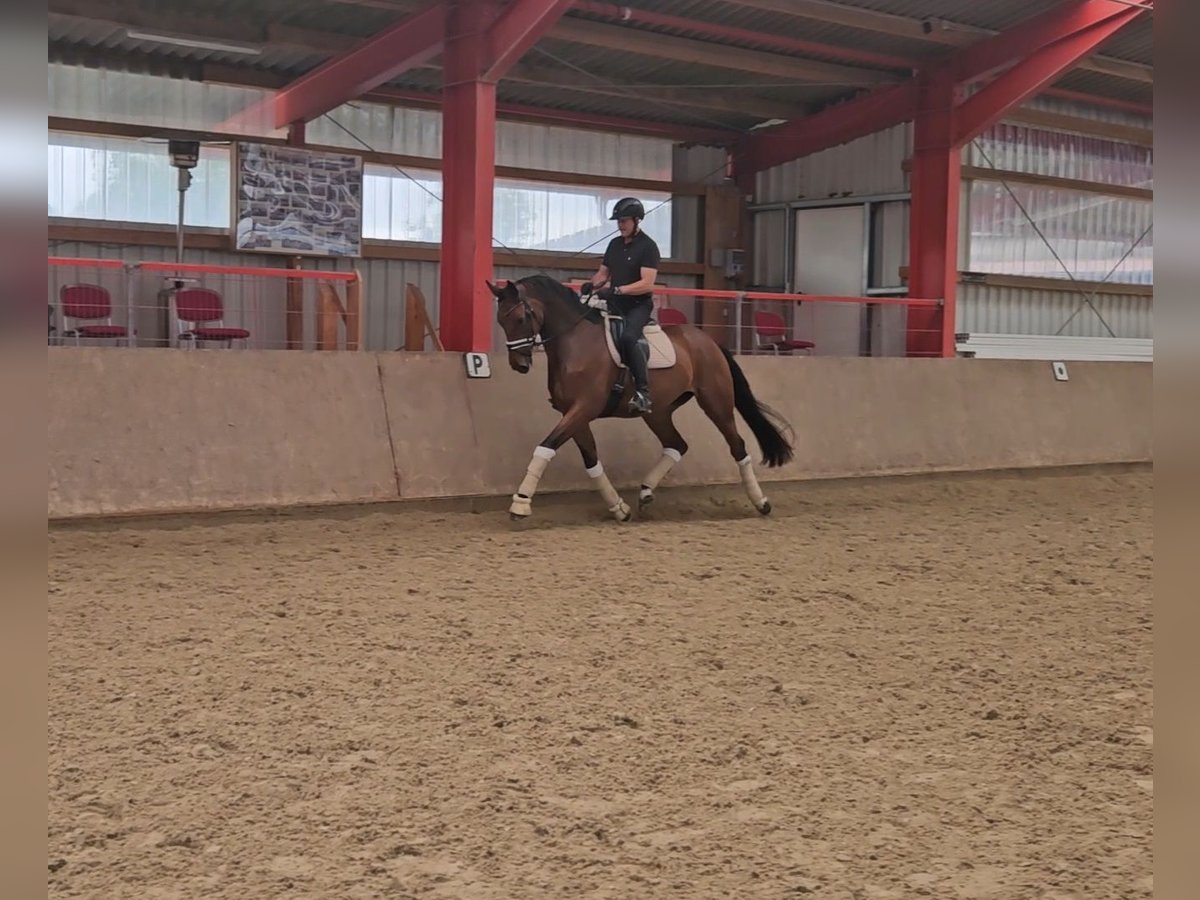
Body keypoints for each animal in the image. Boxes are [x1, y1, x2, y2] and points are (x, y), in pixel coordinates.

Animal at [487, 278, 796, 525]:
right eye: (501, 320)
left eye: (519, 318)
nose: (519, 364)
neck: (575, 342)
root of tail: (707, 340)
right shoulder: (574, 414)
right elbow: (591, 461)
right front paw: (618, 508)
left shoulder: (583, 408)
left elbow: (545, 447)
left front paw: (521, 503)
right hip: (657, 412)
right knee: (677, 444)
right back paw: (646, 492)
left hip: (715, 402)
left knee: (737, 446)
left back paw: (760, 502)